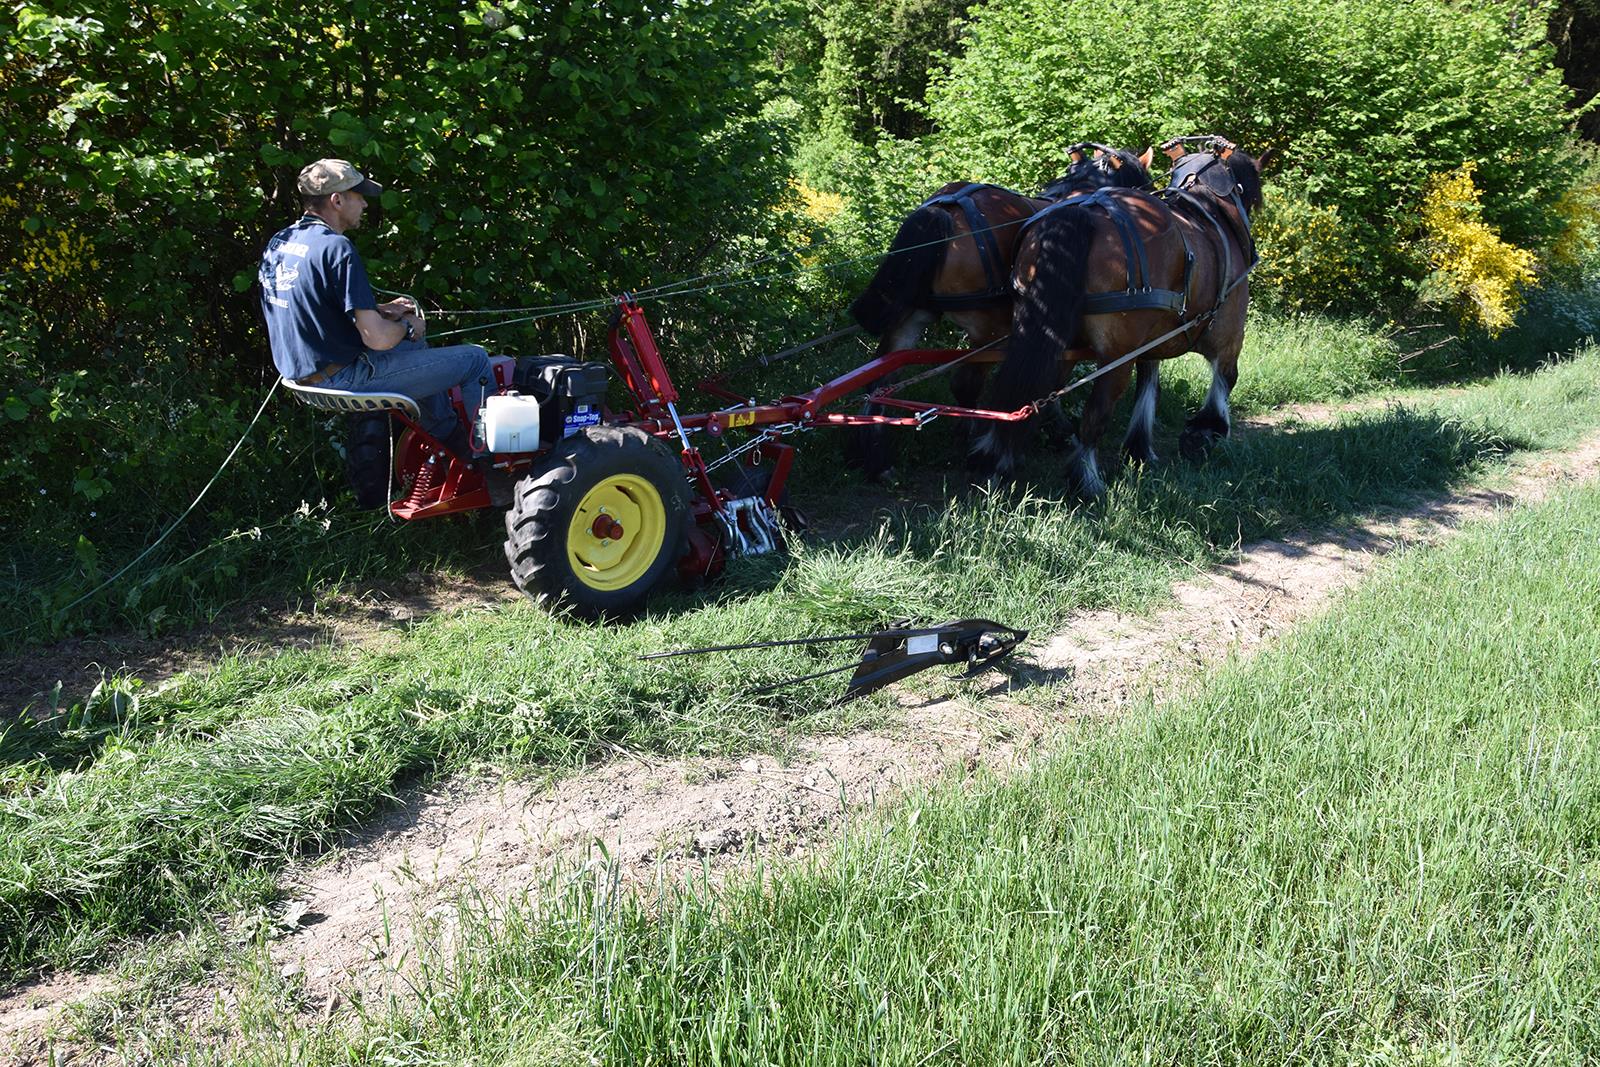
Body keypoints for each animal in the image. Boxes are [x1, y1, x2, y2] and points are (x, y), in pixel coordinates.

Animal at [851, 143, 1152, 476]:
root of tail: (945, 208)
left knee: (881, 379)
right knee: (965, 385)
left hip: (913, 317)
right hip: (987, 331)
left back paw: (875, 459)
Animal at [972, 141, 1260, 495]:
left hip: (1048, 335)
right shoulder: (1229, 332)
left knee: (1029, 394)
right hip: (1116, 355)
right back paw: (1087, 481)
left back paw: (997, 458)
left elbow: (1149, 388)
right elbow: (1225, 378)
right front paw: (1207, 431)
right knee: (1095, 413)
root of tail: (1081, 211)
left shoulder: (1151, 344)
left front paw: (1140, 448)